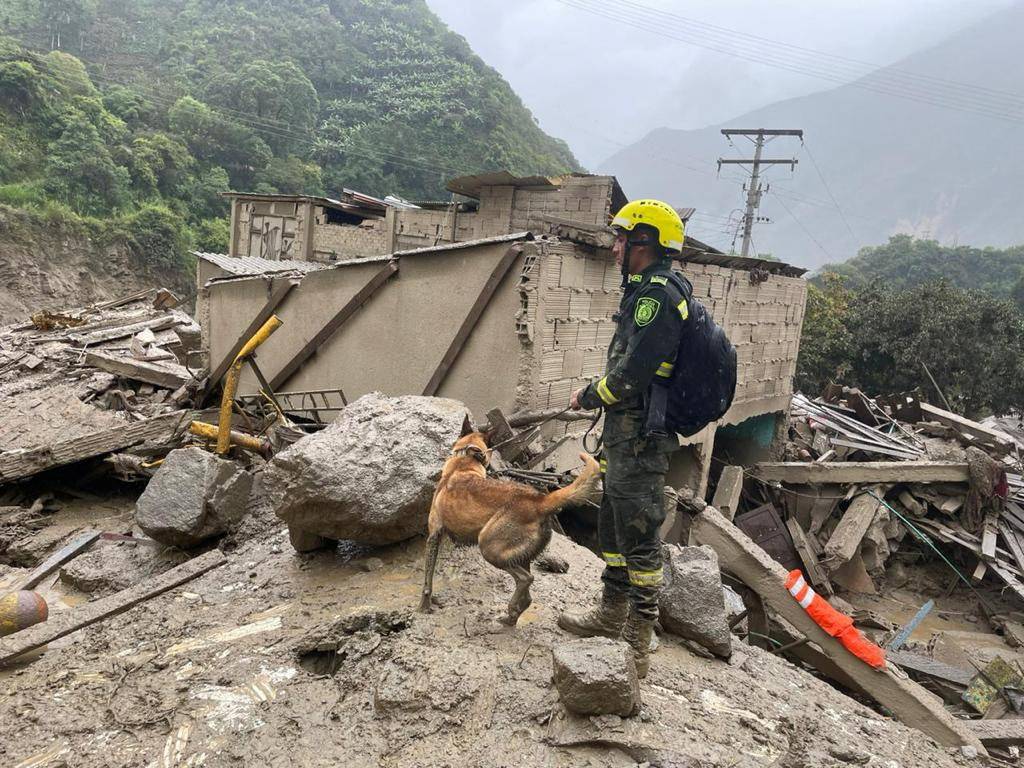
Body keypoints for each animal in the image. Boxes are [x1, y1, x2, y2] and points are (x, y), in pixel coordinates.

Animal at [419, 430, 602, 626]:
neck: (463, 462)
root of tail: (540, 501)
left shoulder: (433, 536)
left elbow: (427, 581)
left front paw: (423, 606)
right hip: (520, 555)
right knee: (528, 595)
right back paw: (511, 616)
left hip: (489, 547)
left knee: (526, 579)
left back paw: (511, 609)